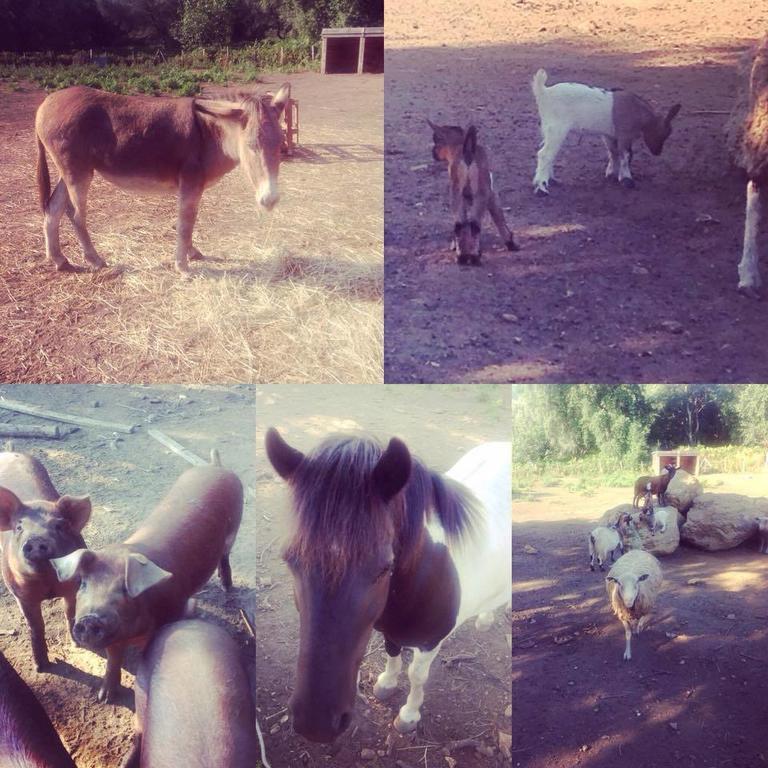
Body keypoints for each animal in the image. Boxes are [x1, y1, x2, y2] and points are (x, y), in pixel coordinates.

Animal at [0, 452, 91, 668]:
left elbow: (70, 613)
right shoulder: (21, 595)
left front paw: (77, 645)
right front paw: (40, 667)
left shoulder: (73, 586)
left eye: (60, 526)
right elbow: (35, 626)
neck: (48, 585)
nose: (36, 540)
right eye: (19, 527)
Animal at [52, 462, 243, 704]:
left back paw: (227, 586)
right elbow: (113, 660)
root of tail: (215, 466)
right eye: (83, 584)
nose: (89, 618)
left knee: (225, 556)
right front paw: (104, 698)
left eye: (125, 590)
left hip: (234, 529)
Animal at [428, 119, 520, 264]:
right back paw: (474, 256)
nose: (433, 152)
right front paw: (510, 243)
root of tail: (467, 150)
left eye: (436, 140)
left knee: (459, 224)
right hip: (479, 195)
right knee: (474, 224)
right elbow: (499, 217)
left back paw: (462, 257)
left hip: (457, 194)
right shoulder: (491, 194)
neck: (458, 145)